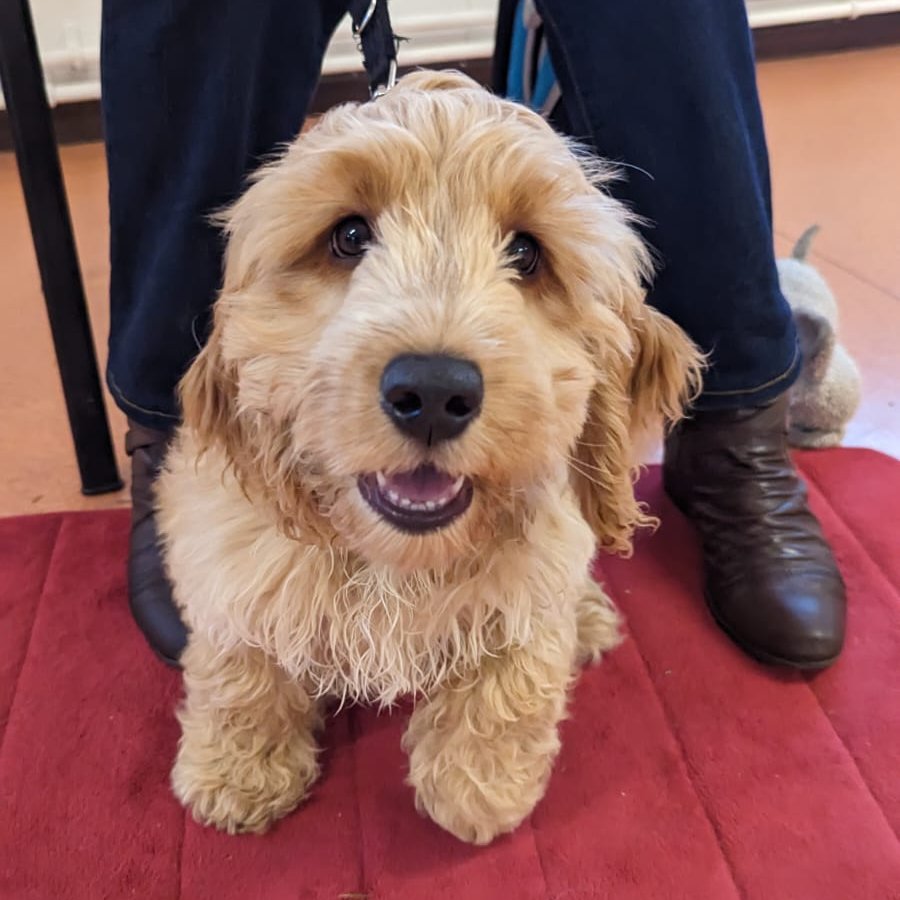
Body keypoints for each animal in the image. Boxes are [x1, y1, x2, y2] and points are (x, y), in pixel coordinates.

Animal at [156, 70, 704, 844]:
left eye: (527, 253)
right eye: (349, 236)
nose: (436, 390)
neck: (395, 563)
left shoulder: (537, 569)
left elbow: (515, 677)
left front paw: (476, 792)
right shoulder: (226, 555)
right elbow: (240, 664)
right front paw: (237, 773)